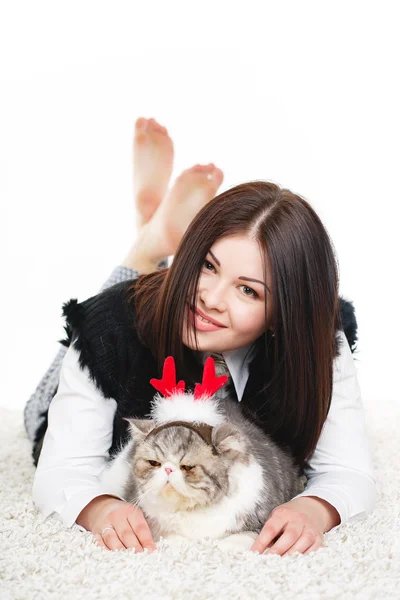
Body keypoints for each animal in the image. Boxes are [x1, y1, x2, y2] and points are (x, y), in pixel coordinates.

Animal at [98, 356, 304, 552]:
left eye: (187, 467)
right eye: (154, 463)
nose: (168, 470)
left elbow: (242, 538)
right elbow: (170, 538)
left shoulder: (260, 518)